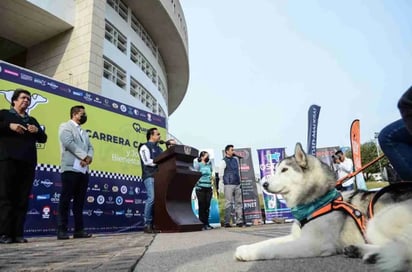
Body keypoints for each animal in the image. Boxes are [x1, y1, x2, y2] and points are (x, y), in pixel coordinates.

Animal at [237, 143, 412, 270]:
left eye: (284, 170)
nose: (264, 184)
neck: (317, 201)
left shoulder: (313, 244)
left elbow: (273, 248)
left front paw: (248, 252)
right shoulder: (297, 236)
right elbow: (267, 242)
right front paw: (246, 248)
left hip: (379, 220)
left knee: (402, 247)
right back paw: (363, 252)